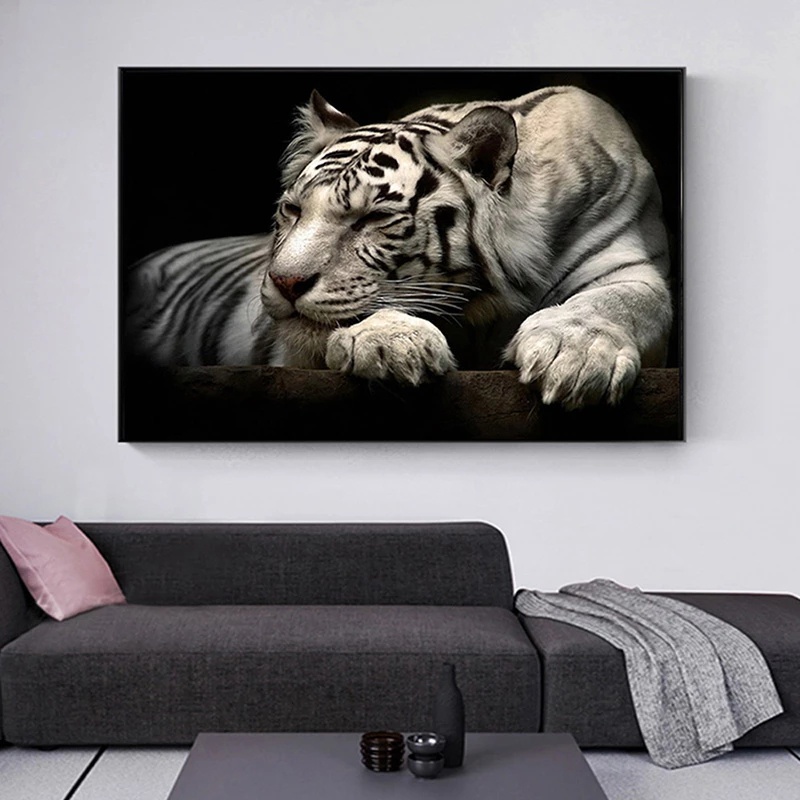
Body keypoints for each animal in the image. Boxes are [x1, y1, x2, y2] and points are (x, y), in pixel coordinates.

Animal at [128, 85, 672, 409]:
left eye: (372, 218)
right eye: (293, 211)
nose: (284, 282)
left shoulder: (629, 263)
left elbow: (619, 301)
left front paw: (574, 356)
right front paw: (391, 344)